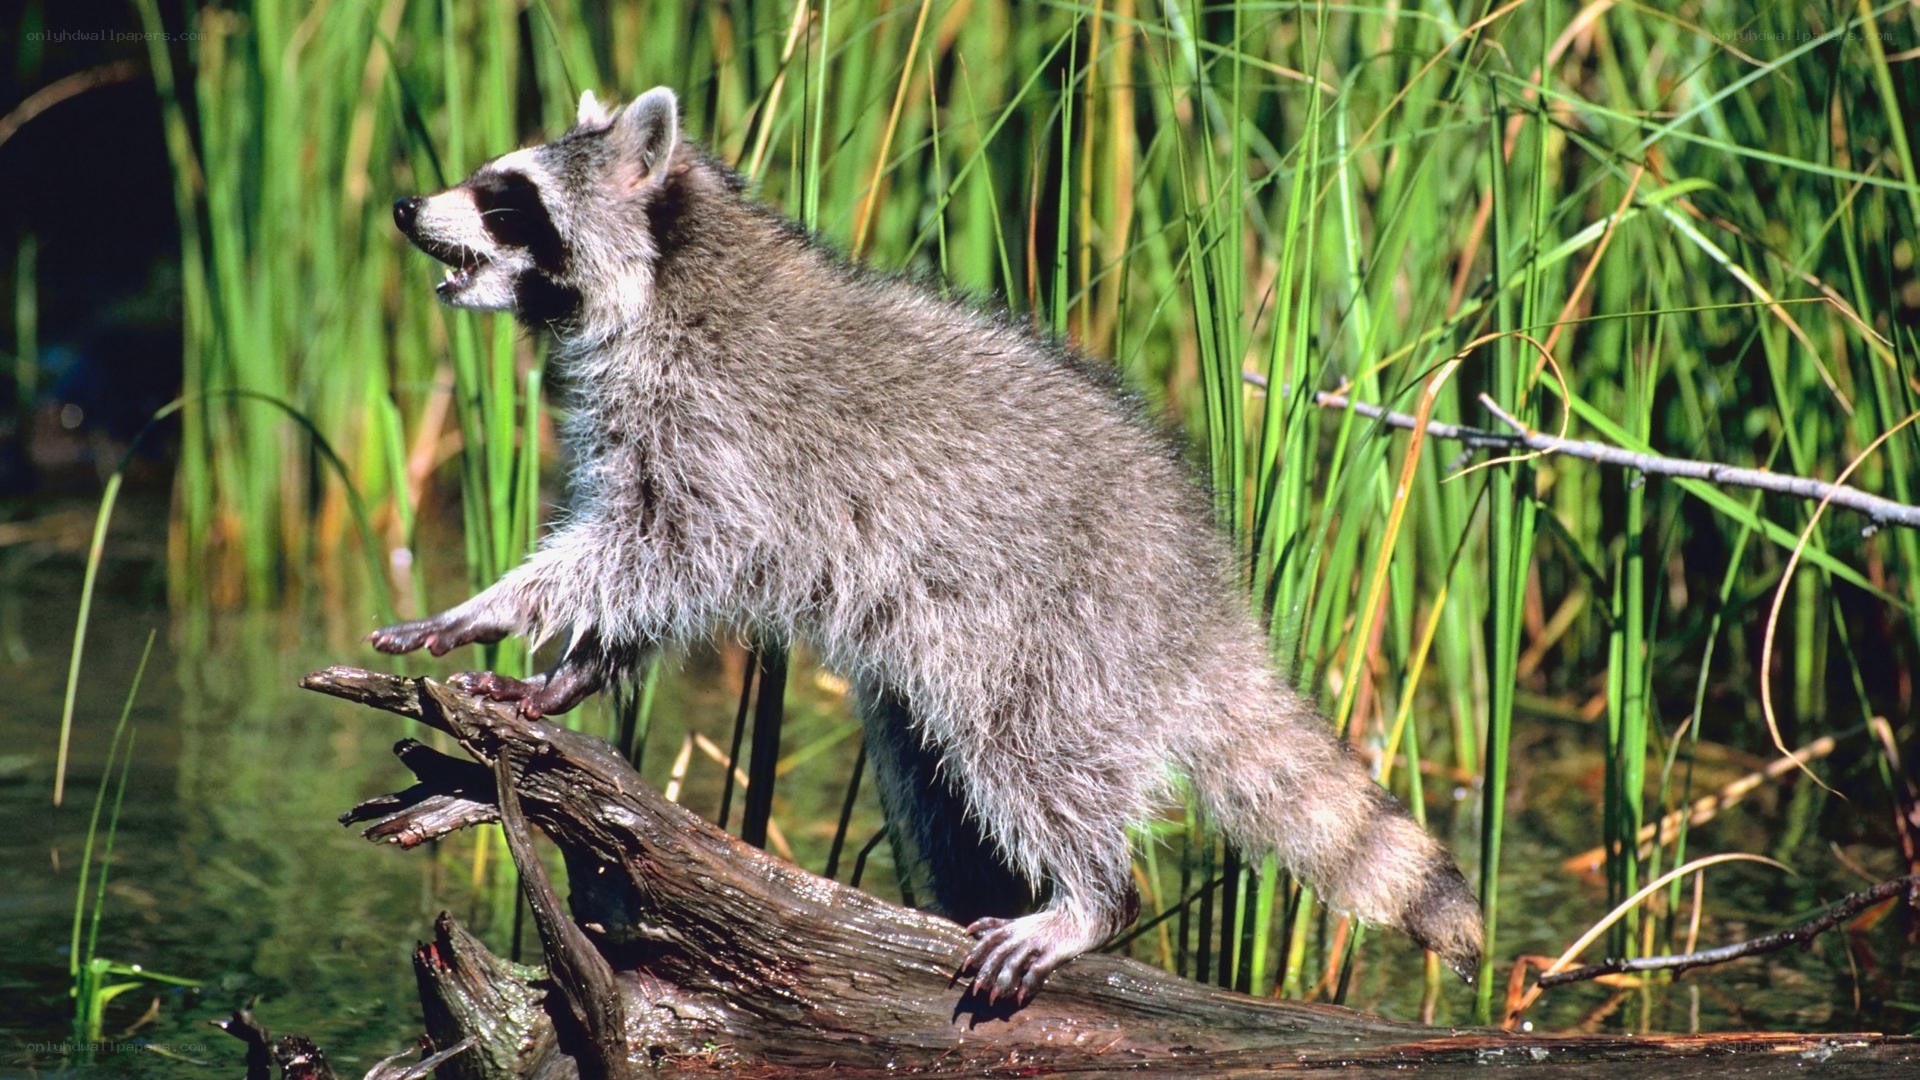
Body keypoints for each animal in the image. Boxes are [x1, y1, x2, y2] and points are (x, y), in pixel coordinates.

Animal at [372, 87, 1483, 1005]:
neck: (670, 276)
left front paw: (498, 606)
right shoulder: (653, 431)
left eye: (505, 195)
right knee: (939, 785)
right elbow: (649, 573)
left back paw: (1093, 899)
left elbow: (663, 551)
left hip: (1062, 635)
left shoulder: (723, 433)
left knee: (1025, 754)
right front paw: (572, 671)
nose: (405, 210)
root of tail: (1201, 596)